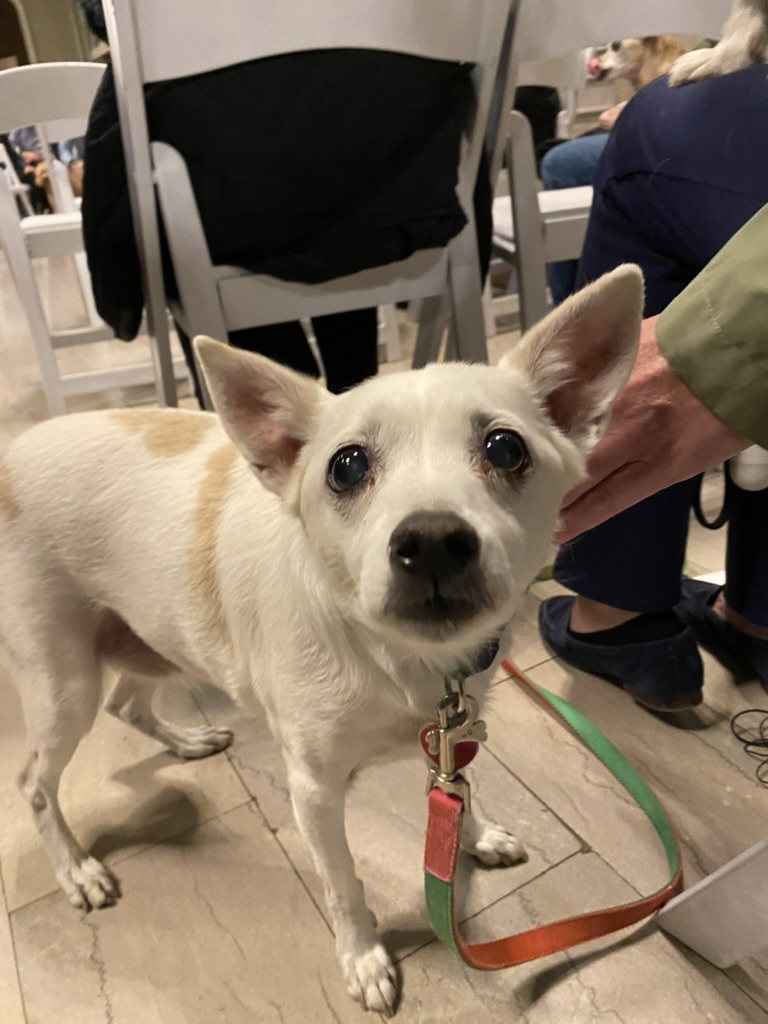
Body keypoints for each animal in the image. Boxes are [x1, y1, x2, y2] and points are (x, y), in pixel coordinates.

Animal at [1, 266, 643, 1015]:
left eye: (506, 449)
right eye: (348, 466)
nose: (431, 539)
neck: (399, 659)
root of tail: (10, 453)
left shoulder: (452, 734)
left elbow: (458, 789)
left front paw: (474, 834)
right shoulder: (313, 791)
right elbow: (342, 884)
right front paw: (363, 958)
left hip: (145, 639)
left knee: (126, 705)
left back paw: (186, 742)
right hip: (64, 680)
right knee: (35, 782)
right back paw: (77, 869)